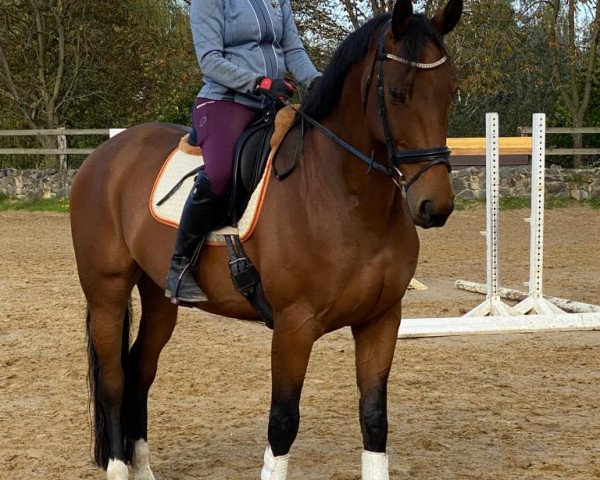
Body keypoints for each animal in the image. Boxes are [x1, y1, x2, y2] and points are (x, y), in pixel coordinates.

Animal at [71, 1, 464, 478]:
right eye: (395, 93)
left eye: (450, 91)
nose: (434, 206)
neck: (342, 195)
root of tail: (103, 156)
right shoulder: (294, 327)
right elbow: (282, 422)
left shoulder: (382, 320)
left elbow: (374, 419)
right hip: (106, 293)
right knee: (113, 377)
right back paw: (118, 466)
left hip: (160, 299)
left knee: (139, 370)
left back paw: (142, 468)